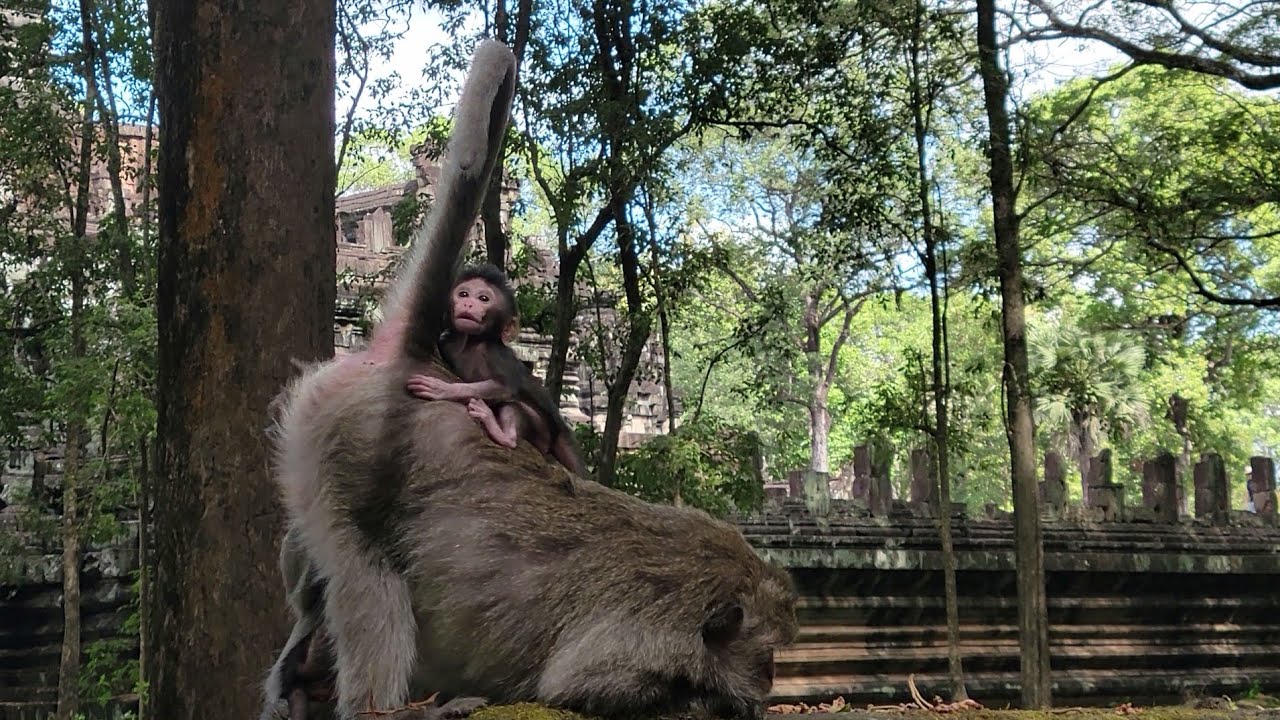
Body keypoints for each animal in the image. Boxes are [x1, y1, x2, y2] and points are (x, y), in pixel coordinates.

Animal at [405, 262, 587, 478]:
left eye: (483, 298)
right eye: (464, 294)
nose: (468, 304)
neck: (470, 342)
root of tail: (559, 428)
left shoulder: (494, 353)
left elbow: (505, 387)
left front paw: (442, 389)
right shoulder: (447, 341)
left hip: (541, 430)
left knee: (511, 404)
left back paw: (501, 433)